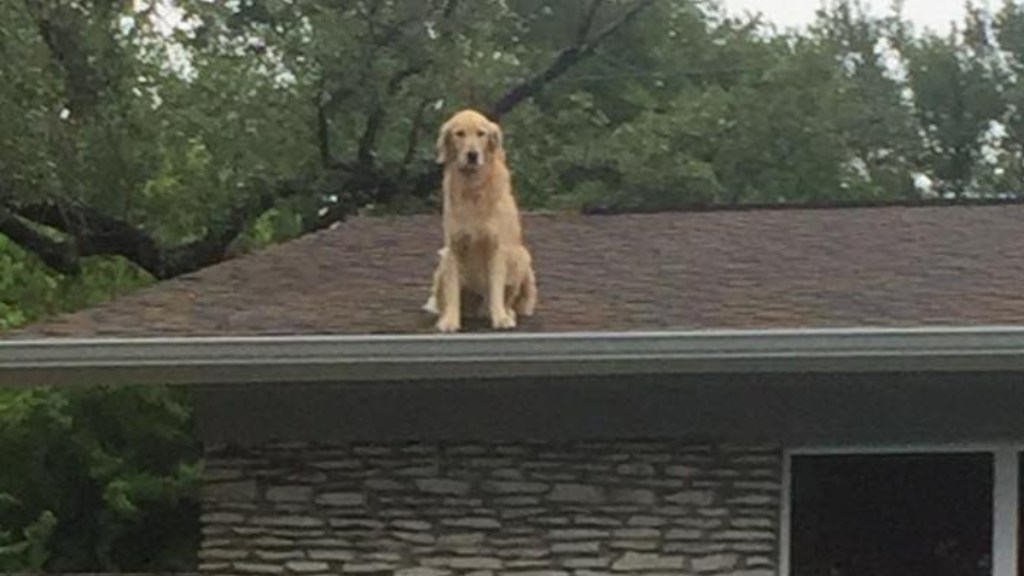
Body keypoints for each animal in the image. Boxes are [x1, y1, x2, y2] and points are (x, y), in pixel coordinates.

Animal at [423, 108, 540, 332]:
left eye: (481, 134)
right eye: (459, 134)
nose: (472, 155)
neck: (473, 188)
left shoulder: (497, 247)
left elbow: (496, 288)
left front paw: (500, 318)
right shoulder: (454, 247)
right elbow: (452, 292)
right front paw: (450, 321)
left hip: (521, 256)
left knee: (507, 298)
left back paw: (507, 313)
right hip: (443, 261)